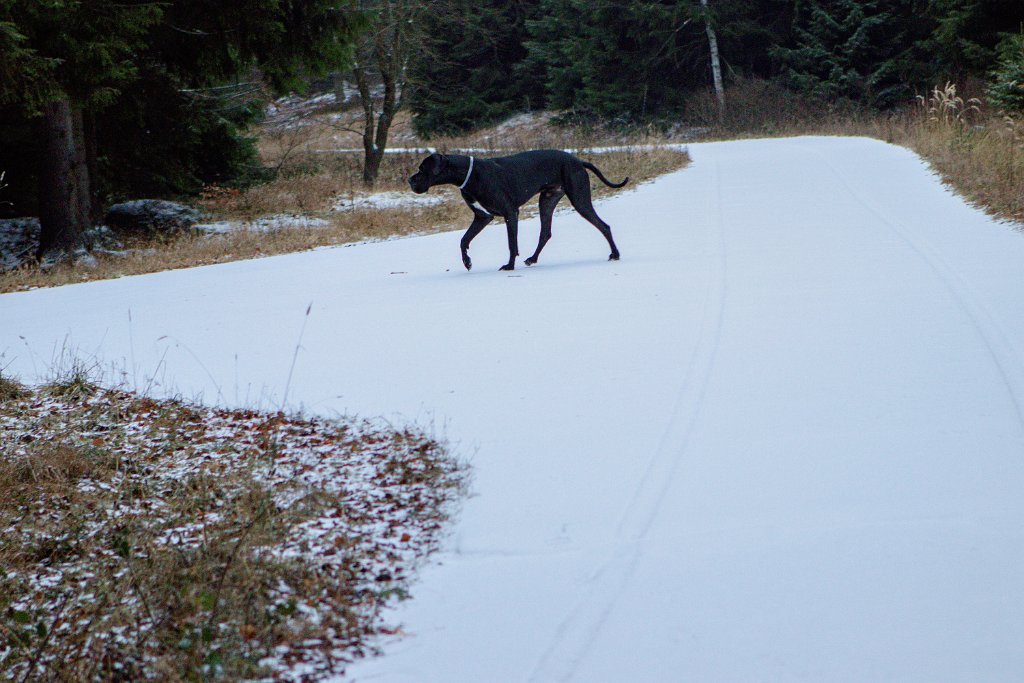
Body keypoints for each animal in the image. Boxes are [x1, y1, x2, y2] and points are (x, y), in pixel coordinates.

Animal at [405, 149, 622, 270]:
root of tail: (577, 160)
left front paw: (509, 266)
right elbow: (463, 239)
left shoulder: (510, 213)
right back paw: (532, 259)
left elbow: (512, 243)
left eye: (422, 169)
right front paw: (467, 262)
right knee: (545, 233)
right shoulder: (482, 217)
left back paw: (615, 254)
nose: (409, 180)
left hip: (579, 199)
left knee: (604, 226)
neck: (469, 174)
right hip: (547, 201)